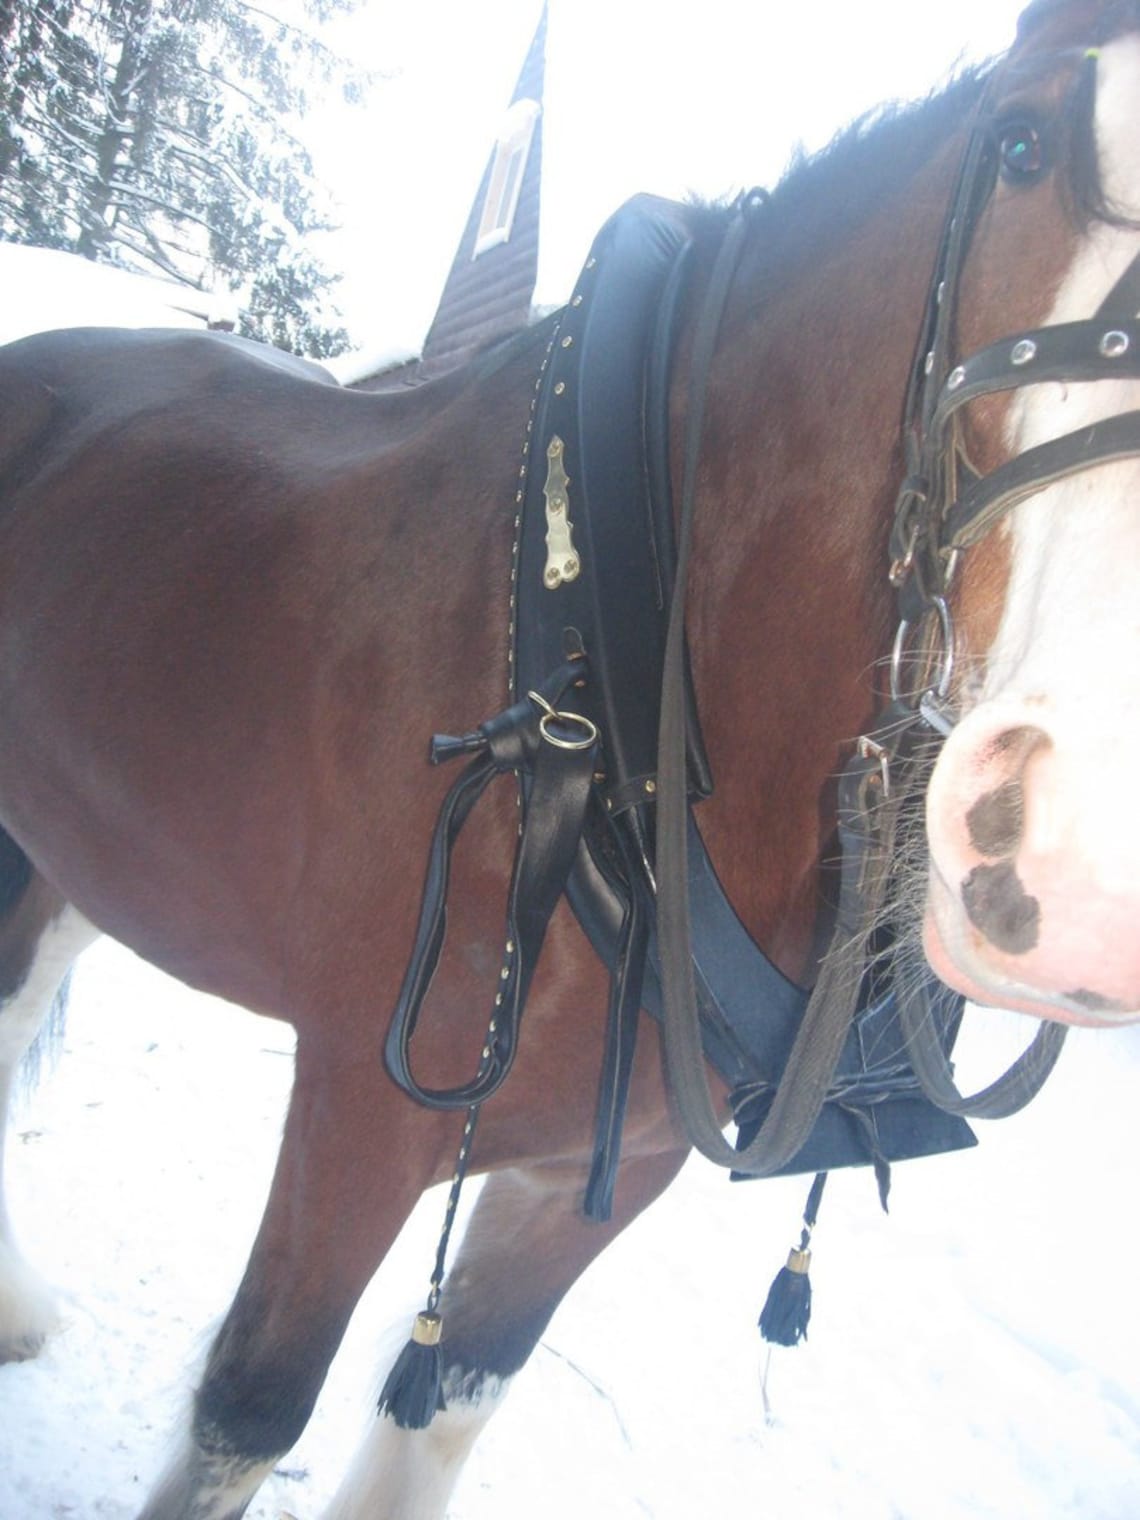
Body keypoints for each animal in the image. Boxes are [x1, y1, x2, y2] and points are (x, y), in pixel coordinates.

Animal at [0, 0, 1137, 1515]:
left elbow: (443, 1405)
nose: (1084, 852)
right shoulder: (362, 1115)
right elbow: (248, 1410)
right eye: (1020, 146)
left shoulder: (600, 1175)